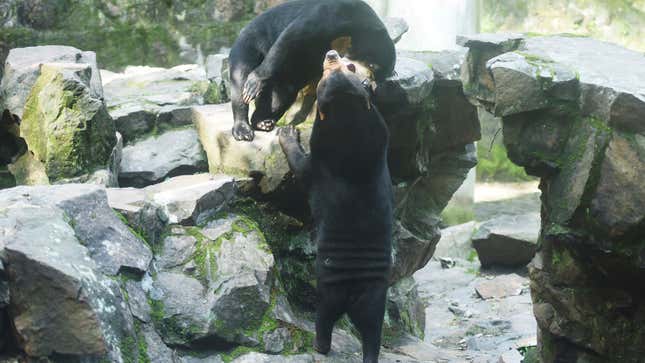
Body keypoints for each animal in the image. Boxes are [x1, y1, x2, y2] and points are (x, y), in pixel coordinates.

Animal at [229, 0, 394, 141]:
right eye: (372, 66)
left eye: (377, 76)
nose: (366, 83)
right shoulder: (337, 15)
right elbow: (293, 36)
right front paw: (255, 83)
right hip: (250, 43)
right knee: (240, 78)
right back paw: (242, 129)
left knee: (282, 93)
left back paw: (262, 121)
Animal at [278, 50, 392, 363]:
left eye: (348, 65)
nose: (330, 52)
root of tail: (355, 293)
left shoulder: (317, 163)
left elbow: (300, 164)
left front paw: (288, 133)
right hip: (377, 298)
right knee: (373, 331)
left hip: (329, 288)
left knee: (325, 317)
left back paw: (319, 345)